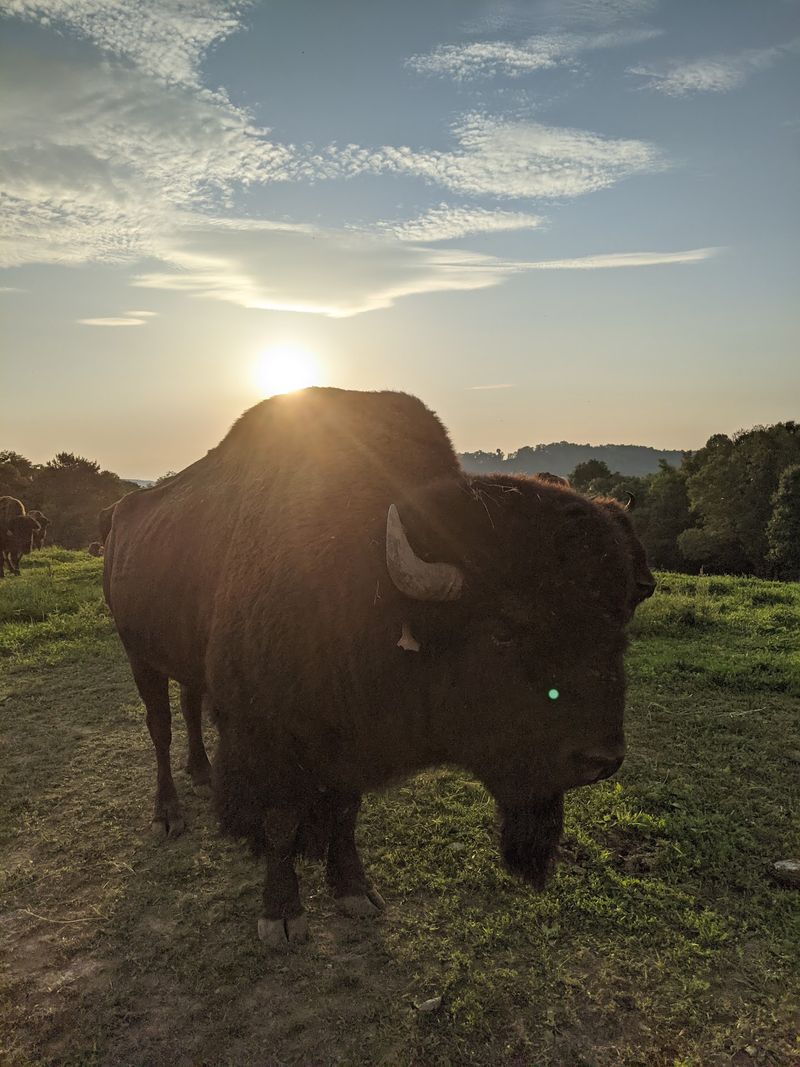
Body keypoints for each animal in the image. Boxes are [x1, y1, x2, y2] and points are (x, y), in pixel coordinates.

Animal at [104, 388, 654, 947]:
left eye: (620, 625)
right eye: (504, 629)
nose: (601, 759)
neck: (365, 580)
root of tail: (121, 516)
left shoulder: (352, 744)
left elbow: (346, 813)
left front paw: (354, 891)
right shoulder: (270, 737)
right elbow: (280, 823)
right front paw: (282, 916)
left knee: (189, 708)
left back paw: (202, 775)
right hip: (137, 654)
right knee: (160, 728)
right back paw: (168, 815)